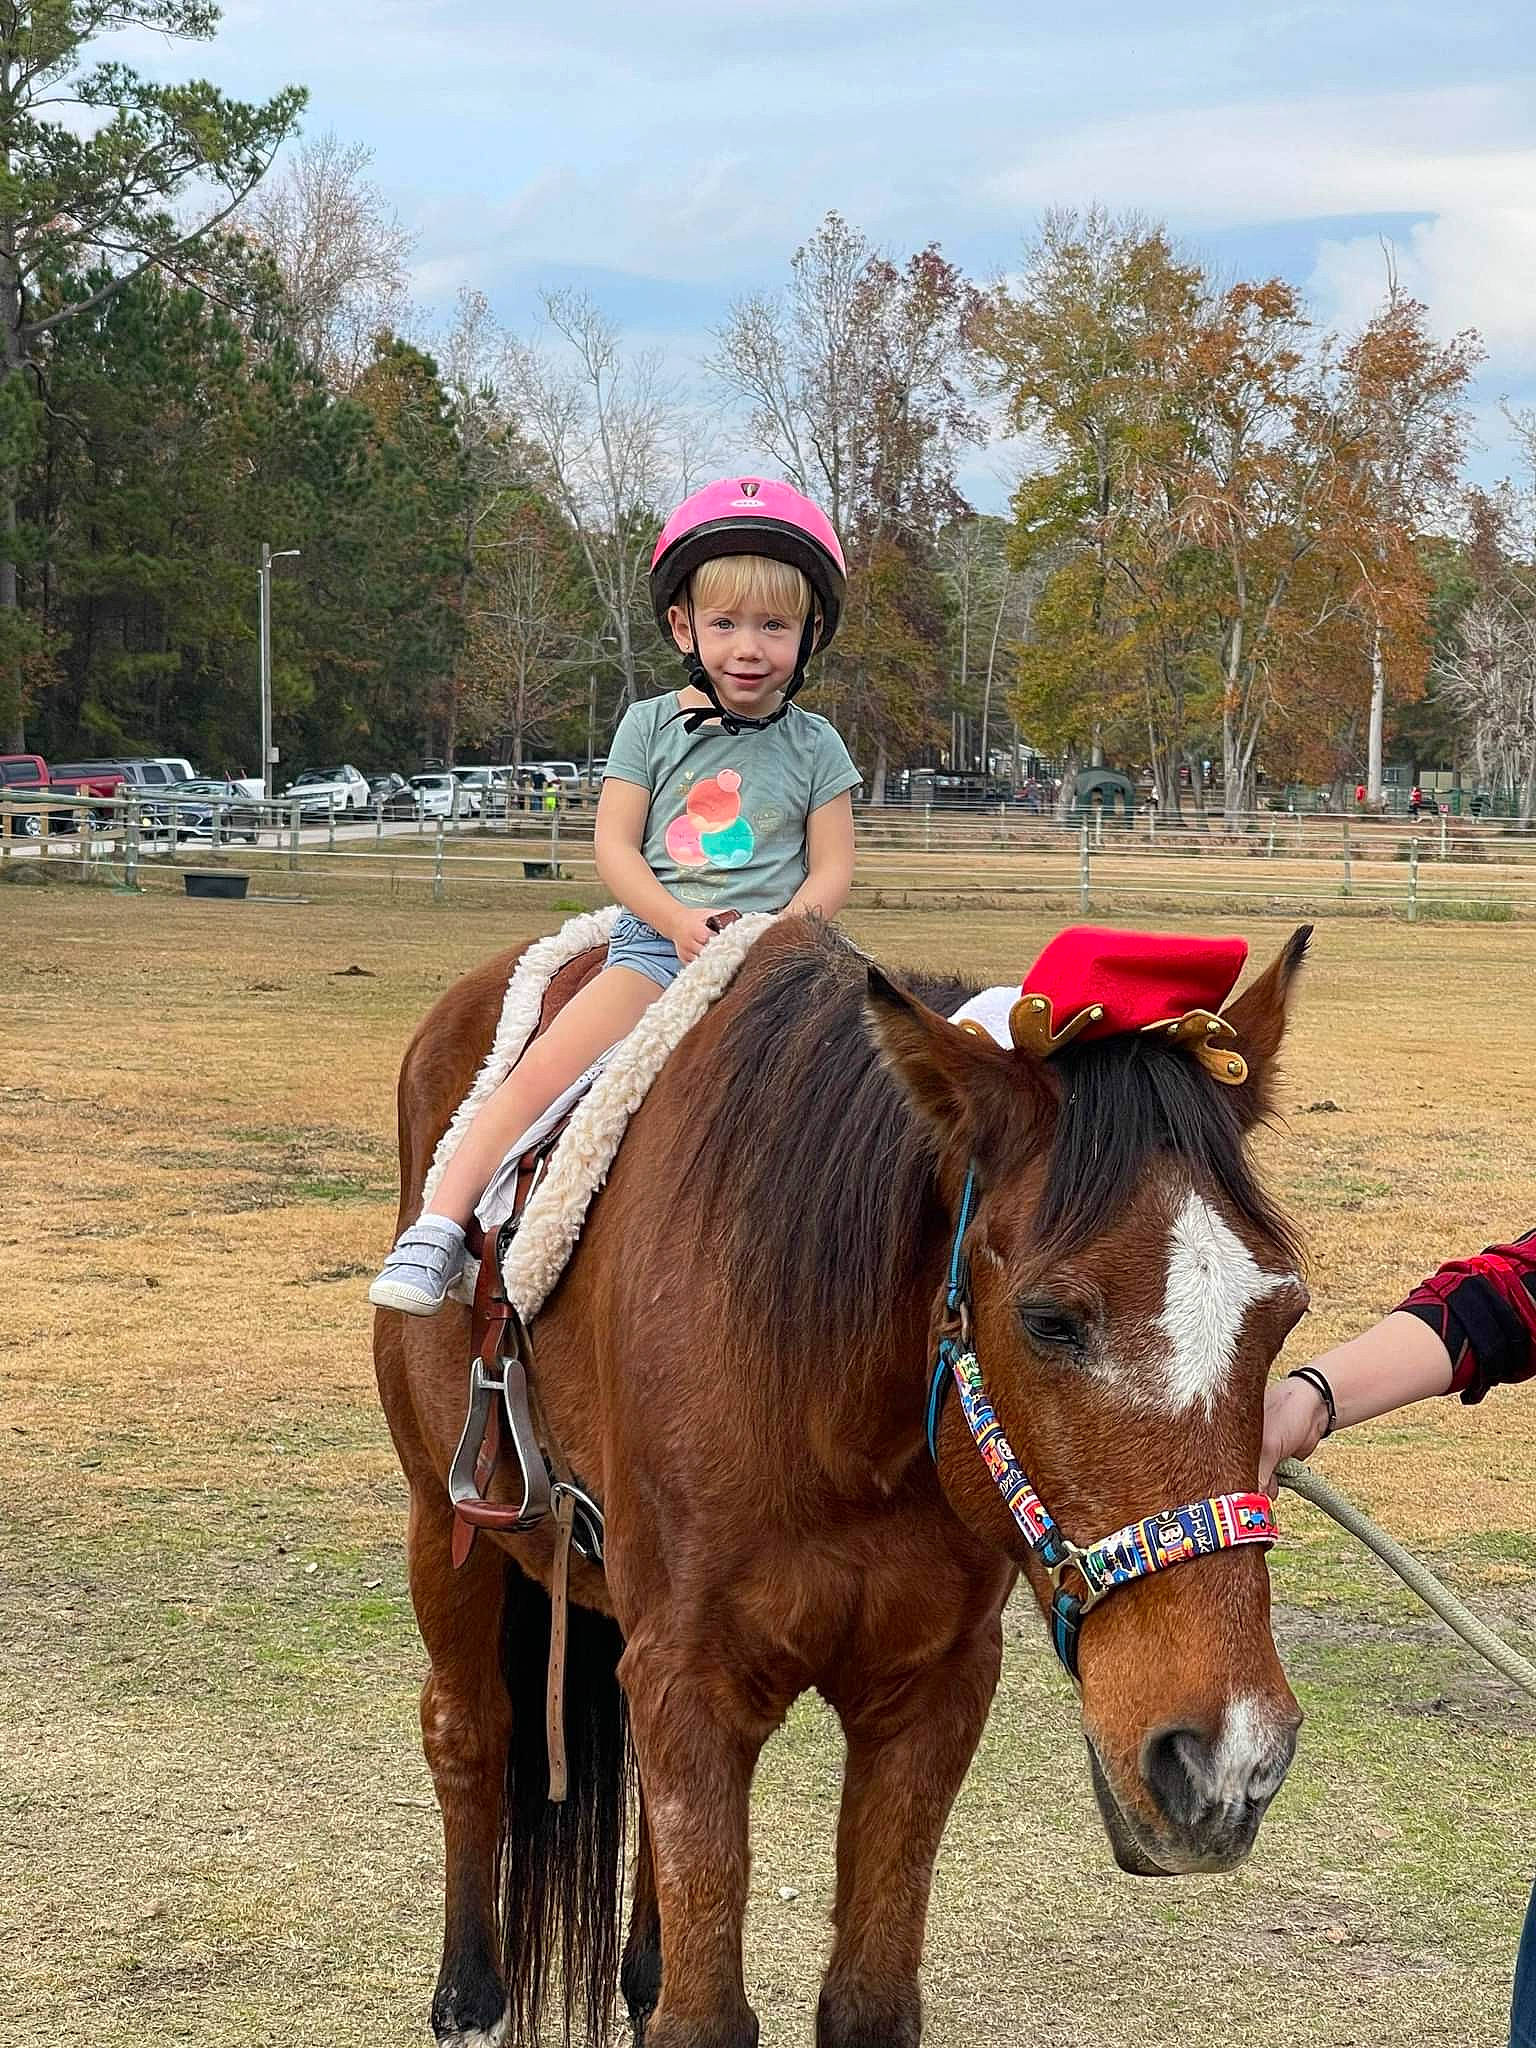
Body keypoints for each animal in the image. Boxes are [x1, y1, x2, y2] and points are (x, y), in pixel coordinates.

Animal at [373, 916, 1311, 2048]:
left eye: (1286, 1314)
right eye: (1050, 1320)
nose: (1229, 1761)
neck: (832, 1409)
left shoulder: (930, 1695)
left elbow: (865, 2000)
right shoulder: (691, 1679)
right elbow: (705, 2014)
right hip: (445, 1521)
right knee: (467, 1724)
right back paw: (469, 1993)